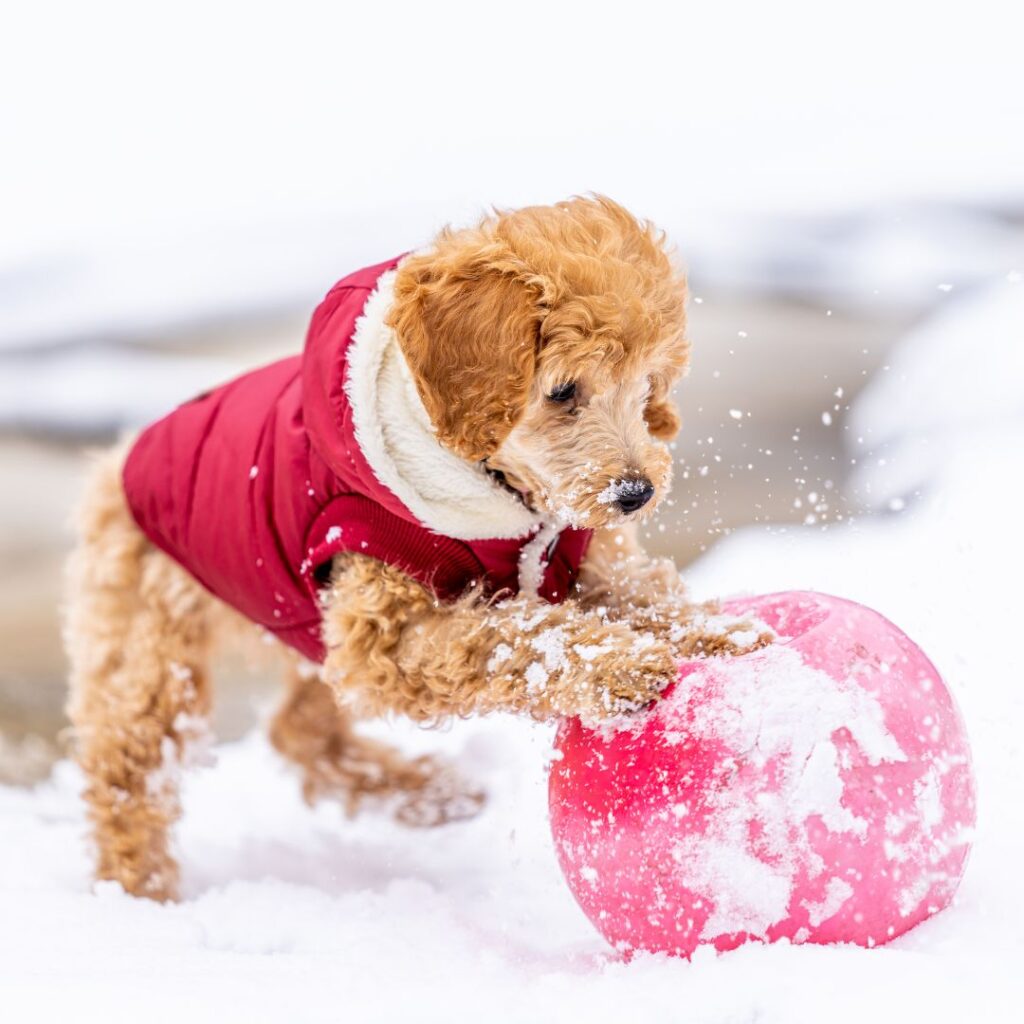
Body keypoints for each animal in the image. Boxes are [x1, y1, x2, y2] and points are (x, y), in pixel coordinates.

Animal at [64, 195, 770, 901]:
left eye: (648, 387)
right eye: (563, 390)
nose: (635, 493)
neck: (505, 497)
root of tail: (121, 459)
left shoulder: (586, 560)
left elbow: (642, 594)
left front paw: (719, 632)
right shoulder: (387, 632)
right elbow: (514, 636)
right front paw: (618, 664)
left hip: (306, 626)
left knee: (300, 728)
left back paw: (427, 794)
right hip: (152, 643)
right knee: (128, 771)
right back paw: (139, 893)